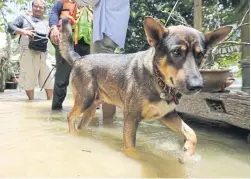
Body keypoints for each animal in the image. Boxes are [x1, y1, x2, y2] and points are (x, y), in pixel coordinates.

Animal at [58, 16, 231, 162]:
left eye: (200, 55)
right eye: (176, 52)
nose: (197, 86)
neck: (159, 82)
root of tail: (79, 58)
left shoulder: (168, 115)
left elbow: (192, 133)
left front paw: (187, 154)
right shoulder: (131, 118)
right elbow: (131, 148)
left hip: (91, 107)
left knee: (80, 123)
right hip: (85, 100)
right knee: (70, 117)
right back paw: (73, 136)